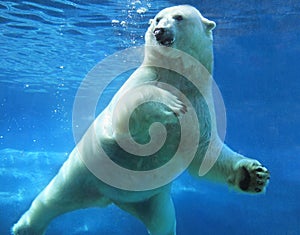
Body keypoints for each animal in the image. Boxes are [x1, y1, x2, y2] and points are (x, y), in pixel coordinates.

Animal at [12, 5, 270, 235]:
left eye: (178, 17)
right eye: (157, 18)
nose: (159, 31)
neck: (177, 76)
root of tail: (109, 198)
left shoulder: (200, 102)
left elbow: (204, 151)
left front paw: (253, 175)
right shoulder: (142, 80)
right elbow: (125, 116)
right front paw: (169, 104)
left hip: (153, 198)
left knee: (164, 223)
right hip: (82, 173)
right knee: (51, 199)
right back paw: (25, 227)